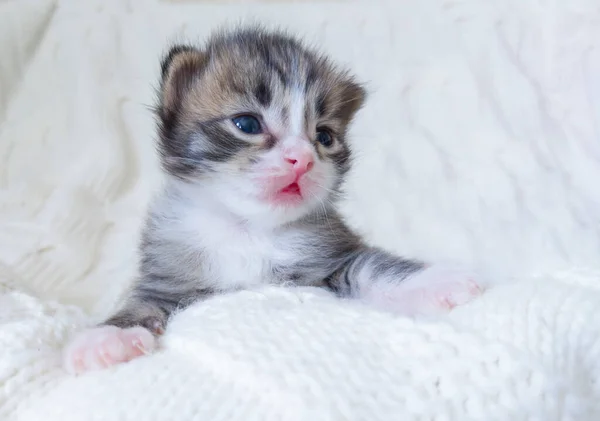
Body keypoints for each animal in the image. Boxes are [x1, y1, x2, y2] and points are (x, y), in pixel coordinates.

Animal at [62, 27, 482, 374]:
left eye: (324, 136)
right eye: (247, 124)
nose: (303, 159)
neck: (249, 230)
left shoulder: (331, 256)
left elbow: (374, 266)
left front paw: (437, 280)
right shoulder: (166, 279)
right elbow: (138, 306)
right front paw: (105, 338)